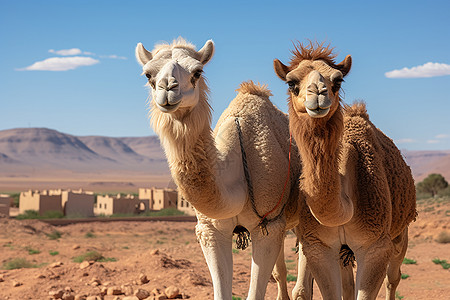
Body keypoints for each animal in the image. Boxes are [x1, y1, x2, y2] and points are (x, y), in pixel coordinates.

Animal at [135, 38, 300, 300]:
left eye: (197, 72)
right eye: (148, 74)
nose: (167, 88)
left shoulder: (269, 225)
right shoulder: (211, 231)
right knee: (282, 270)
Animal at [274, 42, 418, 300]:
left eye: (337, 80)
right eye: (291, 82)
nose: (318, 93)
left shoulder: (375, 246)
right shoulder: (319, 247)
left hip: (401, 232)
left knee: (393, 278)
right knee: (349, 284)